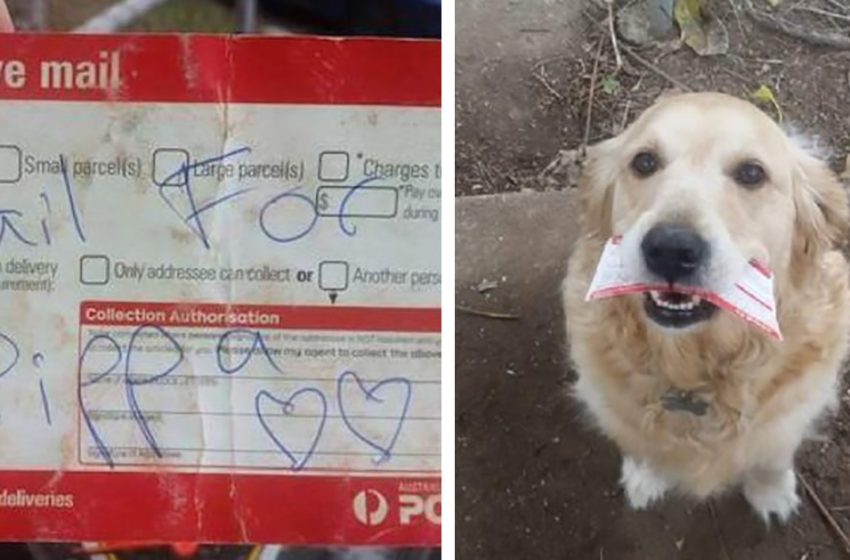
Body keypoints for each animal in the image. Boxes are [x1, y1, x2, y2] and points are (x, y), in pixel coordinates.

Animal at [564, 89, 848, 524]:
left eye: (752, 173)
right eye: (644, 162)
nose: (670, 248)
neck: (693, 371)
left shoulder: (791, 410)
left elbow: (771, 454)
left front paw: (771, 492)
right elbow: (639, 442)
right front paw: (646, 476)